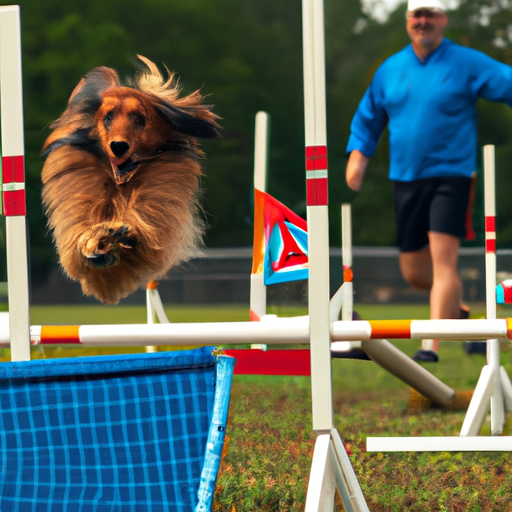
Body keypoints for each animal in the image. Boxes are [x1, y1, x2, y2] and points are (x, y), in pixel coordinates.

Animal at [41, 56, 220, 304]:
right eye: (107, 117)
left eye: (139, 119)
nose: (118, 146)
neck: (119, 188)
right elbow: (84, 238)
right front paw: (98, 240)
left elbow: (144, 227)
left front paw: (123, 234)